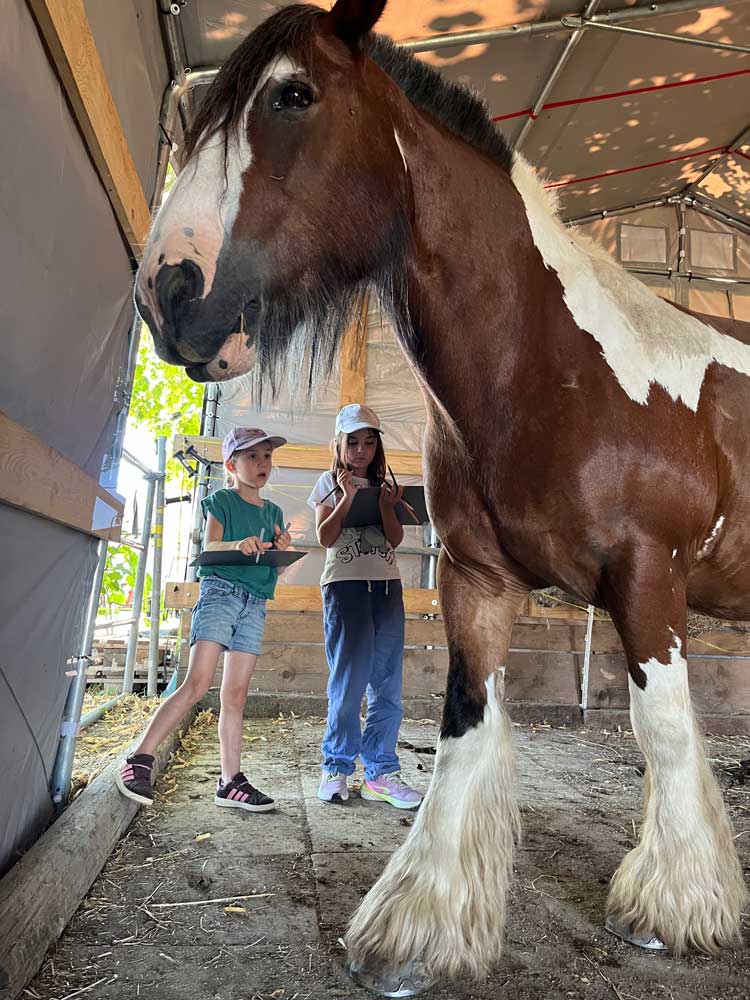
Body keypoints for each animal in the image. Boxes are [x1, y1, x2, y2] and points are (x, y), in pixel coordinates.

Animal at [134, 0, 750, 993]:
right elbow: (465, 720)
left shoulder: (650, 581)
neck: (556, 365)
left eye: (294, 95)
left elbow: (661, 729)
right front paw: (419, 930)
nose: (168, 292)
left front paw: (674, 909)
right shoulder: (478, 581)